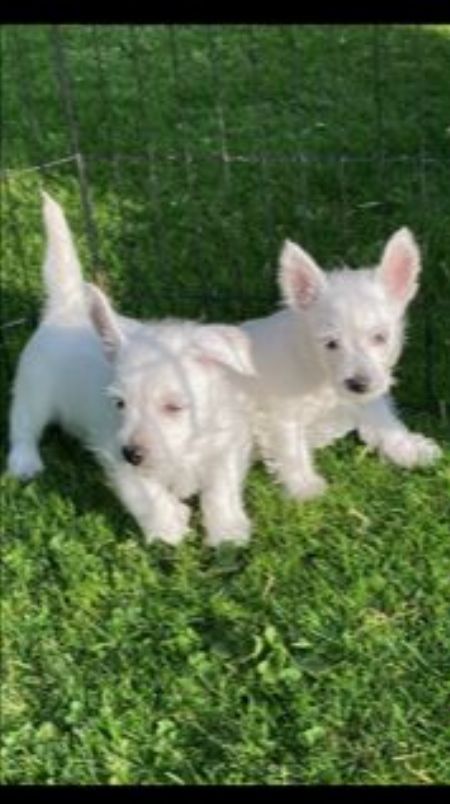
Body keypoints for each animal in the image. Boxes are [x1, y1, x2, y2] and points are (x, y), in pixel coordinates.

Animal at [7, 193, 255, 548]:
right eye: (120, 404)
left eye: (174, 407)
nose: (133, 453)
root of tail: (65, 304)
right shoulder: (114, 451)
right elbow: (146, 493)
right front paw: (168, 526)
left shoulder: (227, 444)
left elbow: (221, 489)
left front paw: (227, 532)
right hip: (32, 392)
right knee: (23, 429)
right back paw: (25, 463)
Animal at [241, 229, 442, 500]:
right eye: (331, 343)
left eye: (380, 337)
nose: (358, 383)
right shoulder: (280, 412)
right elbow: (290, 447)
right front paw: (304, 487)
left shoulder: (368, 396)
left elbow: (384, 419)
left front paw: (409, 448)